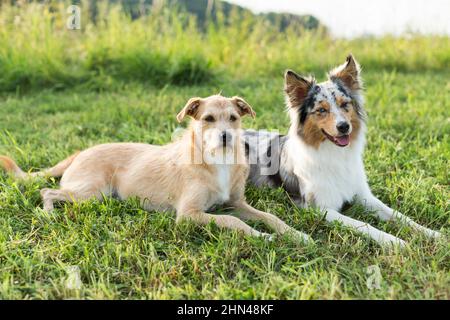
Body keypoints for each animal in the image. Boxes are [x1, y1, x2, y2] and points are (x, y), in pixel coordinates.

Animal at [0, 95, 312, 242]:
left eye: (234, 118)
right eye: (208, 119)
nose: (226, 136)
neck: (217, 161)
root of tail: (81, 152)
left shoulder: (237, 203)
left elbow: (270, 216)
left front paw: (297, 235)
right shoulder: (188, 215)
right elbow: (234, 222)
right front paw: (263, 237)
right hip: (92, 192)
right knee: (47, 190)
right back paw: (48, 213)